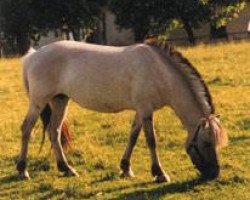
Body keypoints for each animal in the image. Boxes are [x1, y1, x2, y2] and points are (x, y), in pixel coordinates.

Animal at [17, 38, 229, 183]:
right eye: (207, 142)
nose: (214, 173)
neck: (159, 70)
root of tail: (33, 55)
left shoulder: (141, 110)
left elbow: (133, 136)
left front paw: (125, 168)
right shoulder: (145, 109)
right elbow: (151, 141)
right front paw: (159, 173)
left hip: (60, 100)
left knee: (54, 131)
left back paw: (66, 168)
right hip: (38, 102)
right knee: (27, 129)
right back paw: (22, 170)